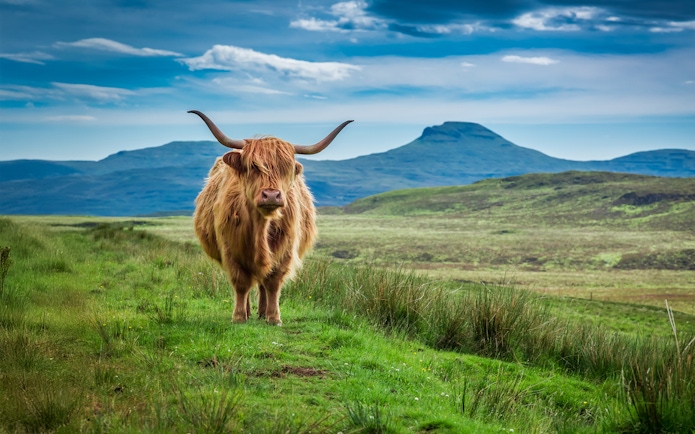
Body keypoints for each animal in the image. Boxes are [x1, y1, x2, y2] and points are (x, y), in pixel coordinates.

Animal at [189, 110, 352, 325]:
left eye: (286, 168)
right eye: (253, 166)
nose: (272, 195)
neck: (261, 227)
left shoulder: (285, 250)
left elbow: (273, 282)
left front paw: (274, 317)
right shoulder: (230, 249)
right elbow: (241, 283)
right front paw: (239, 317)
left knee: (263, 283)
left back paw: (262, 312)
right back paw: (249, 311)